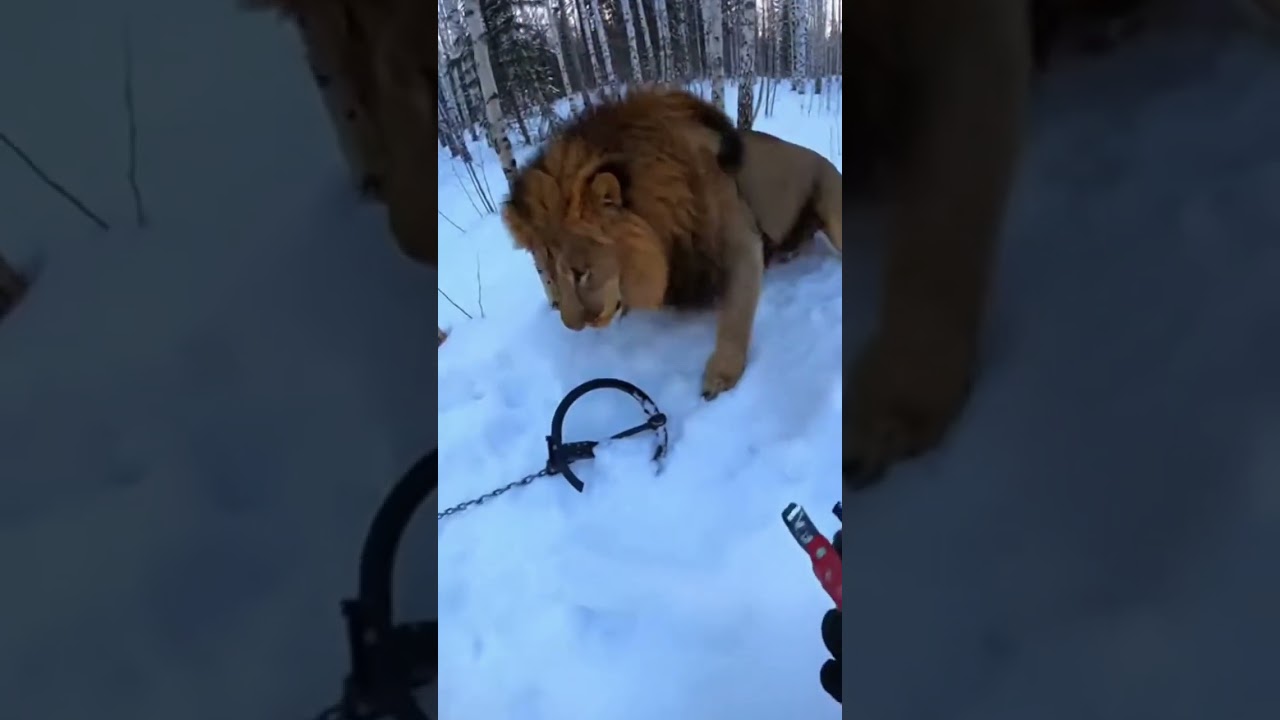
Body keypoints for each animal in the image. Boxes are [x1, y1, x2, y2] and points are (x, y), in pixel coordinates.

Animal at [502, 89, 789, 400]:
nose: (574, 327)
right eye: (549, 275)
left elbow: (737, 312)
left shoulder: (739, 237)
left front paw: (720, 375)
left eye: (581, 272)